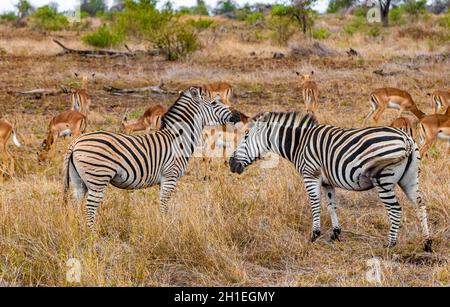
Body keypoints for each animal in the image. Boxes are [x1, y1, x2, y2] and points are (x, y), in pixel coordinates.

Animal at [63, 86, 243, 229]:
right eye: (214, 103)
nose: (238, 115)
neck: (179, 138)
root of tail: (76, 142)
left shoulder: (163, 180)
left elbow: (162, 204)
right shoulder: (170, 177)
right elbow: (164, 205)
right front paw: (165, 228)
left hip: (79, 180)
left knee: (75, 204)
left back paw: (77, 231)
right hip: (98, 178)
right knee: (90, 208)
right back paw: (92, 234)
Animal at [232, 112, 432, 253]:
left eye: (245, 136)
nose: (231, 163)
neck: (299, 143)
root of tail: (406, 138)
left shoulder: (310, 175)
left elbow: (315, 204)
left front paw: (314, 235)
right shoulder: (328, 182)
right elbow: (331, 205)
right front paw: (336, 233)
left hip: (383, 180)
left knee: (395, 209)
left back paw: (390, 243)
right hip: (410, 179)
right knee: (420, 205)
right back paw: (427, 243)